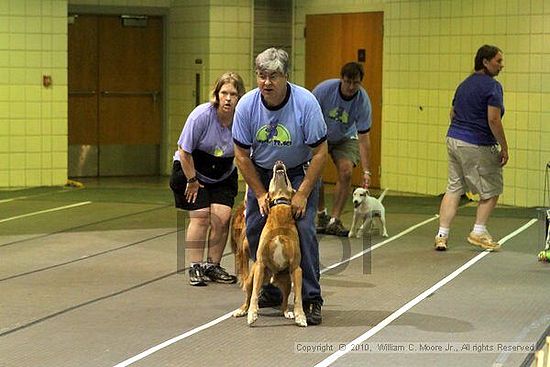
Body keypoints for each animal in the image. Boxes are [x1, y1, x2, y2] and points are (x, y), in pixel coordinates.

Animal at [234, 161, 310, 328]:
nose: (279, 161)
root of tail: (272, 277)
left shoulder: (296, 268)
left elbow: (298, 298)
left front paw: (300, 316)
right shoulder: (261, 264)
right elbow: (254, 295)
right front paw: (252, 314)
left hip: (287, 281)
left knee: (284, 301)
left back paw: (287, 312)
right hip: (251, 278)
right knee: (248, 295)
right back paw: (242, 310)